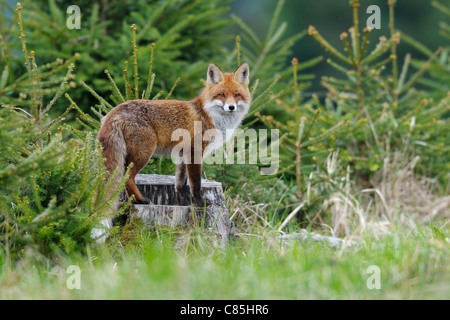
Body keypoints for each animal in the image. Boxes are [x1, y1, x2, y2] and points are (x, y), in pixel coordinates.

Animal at [97, 63, 250, 212]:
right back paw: (141, 200)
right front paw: (201, 204)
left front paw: (183, 204)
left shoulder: (183, 154)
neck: (209, 116)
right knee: (127, 176)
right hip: (144, 153)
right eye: (221, 95)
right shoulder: (195, 152)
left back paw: (134, 201)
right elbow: (196, 184)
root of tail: (115, 110)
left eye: (237, 95)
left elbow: (180, 184)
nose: (231, 107)